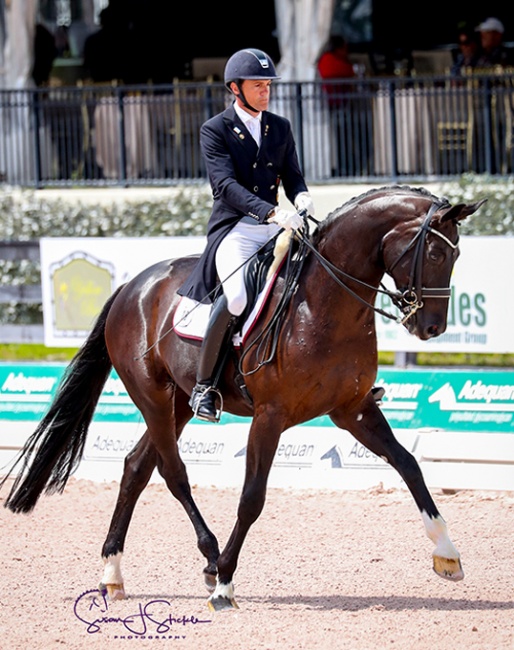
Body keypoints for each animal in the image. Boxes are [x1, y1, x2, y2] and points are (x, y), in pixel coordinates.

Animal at [1, 184, 480, 608]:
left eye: (457, 255)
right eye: (435, 254)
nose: (432, 327)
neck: (322, 305)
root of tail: (132, 286)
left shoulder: (353, 410)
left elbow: (409, 464)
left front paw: (448, 554)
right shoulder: (270, 416)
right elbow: (251, 498)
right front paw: (226, 584)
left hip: (178, 404)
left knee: (136, 467)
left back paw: (113, 574)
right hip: (152, 397)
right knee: (173, 473)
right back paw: (212, 560)